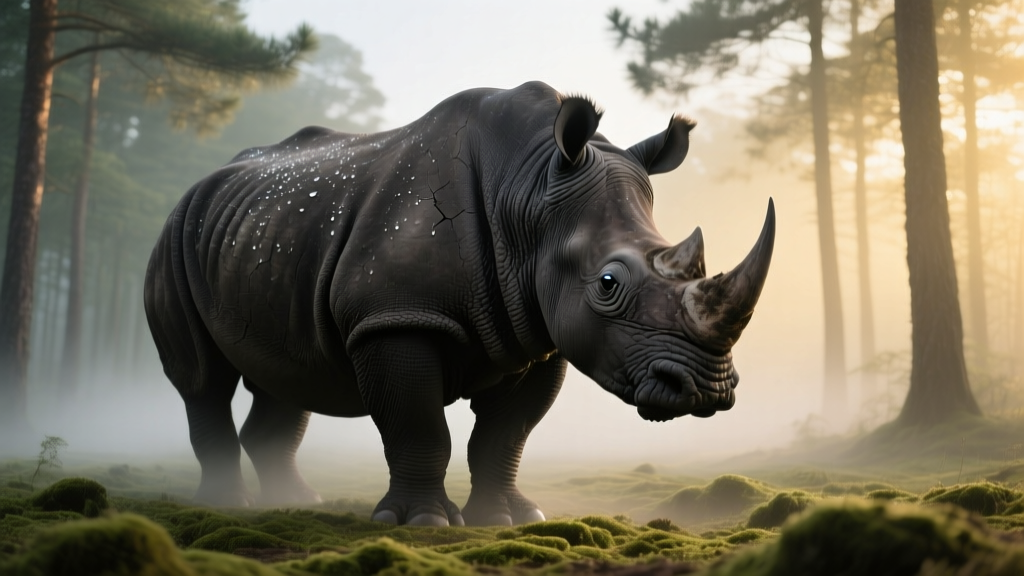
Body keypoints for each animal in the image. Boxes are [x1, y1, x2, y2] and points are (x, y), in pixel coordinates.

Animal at [144, 81, 774, 526]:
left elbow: (505, 436)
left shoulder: (539, 335)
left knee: (287, 374)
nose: (708, 389)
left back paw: (298, 504)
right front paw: (421, 523)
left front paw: (510, 519)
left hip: (262, 239)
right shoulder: (395, 317)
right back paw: (229, 507)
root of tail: (203, 185)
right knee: (202, 380)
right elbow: (419, 425)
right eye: (608, 283)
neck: (527, 189)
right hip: (174, 235)